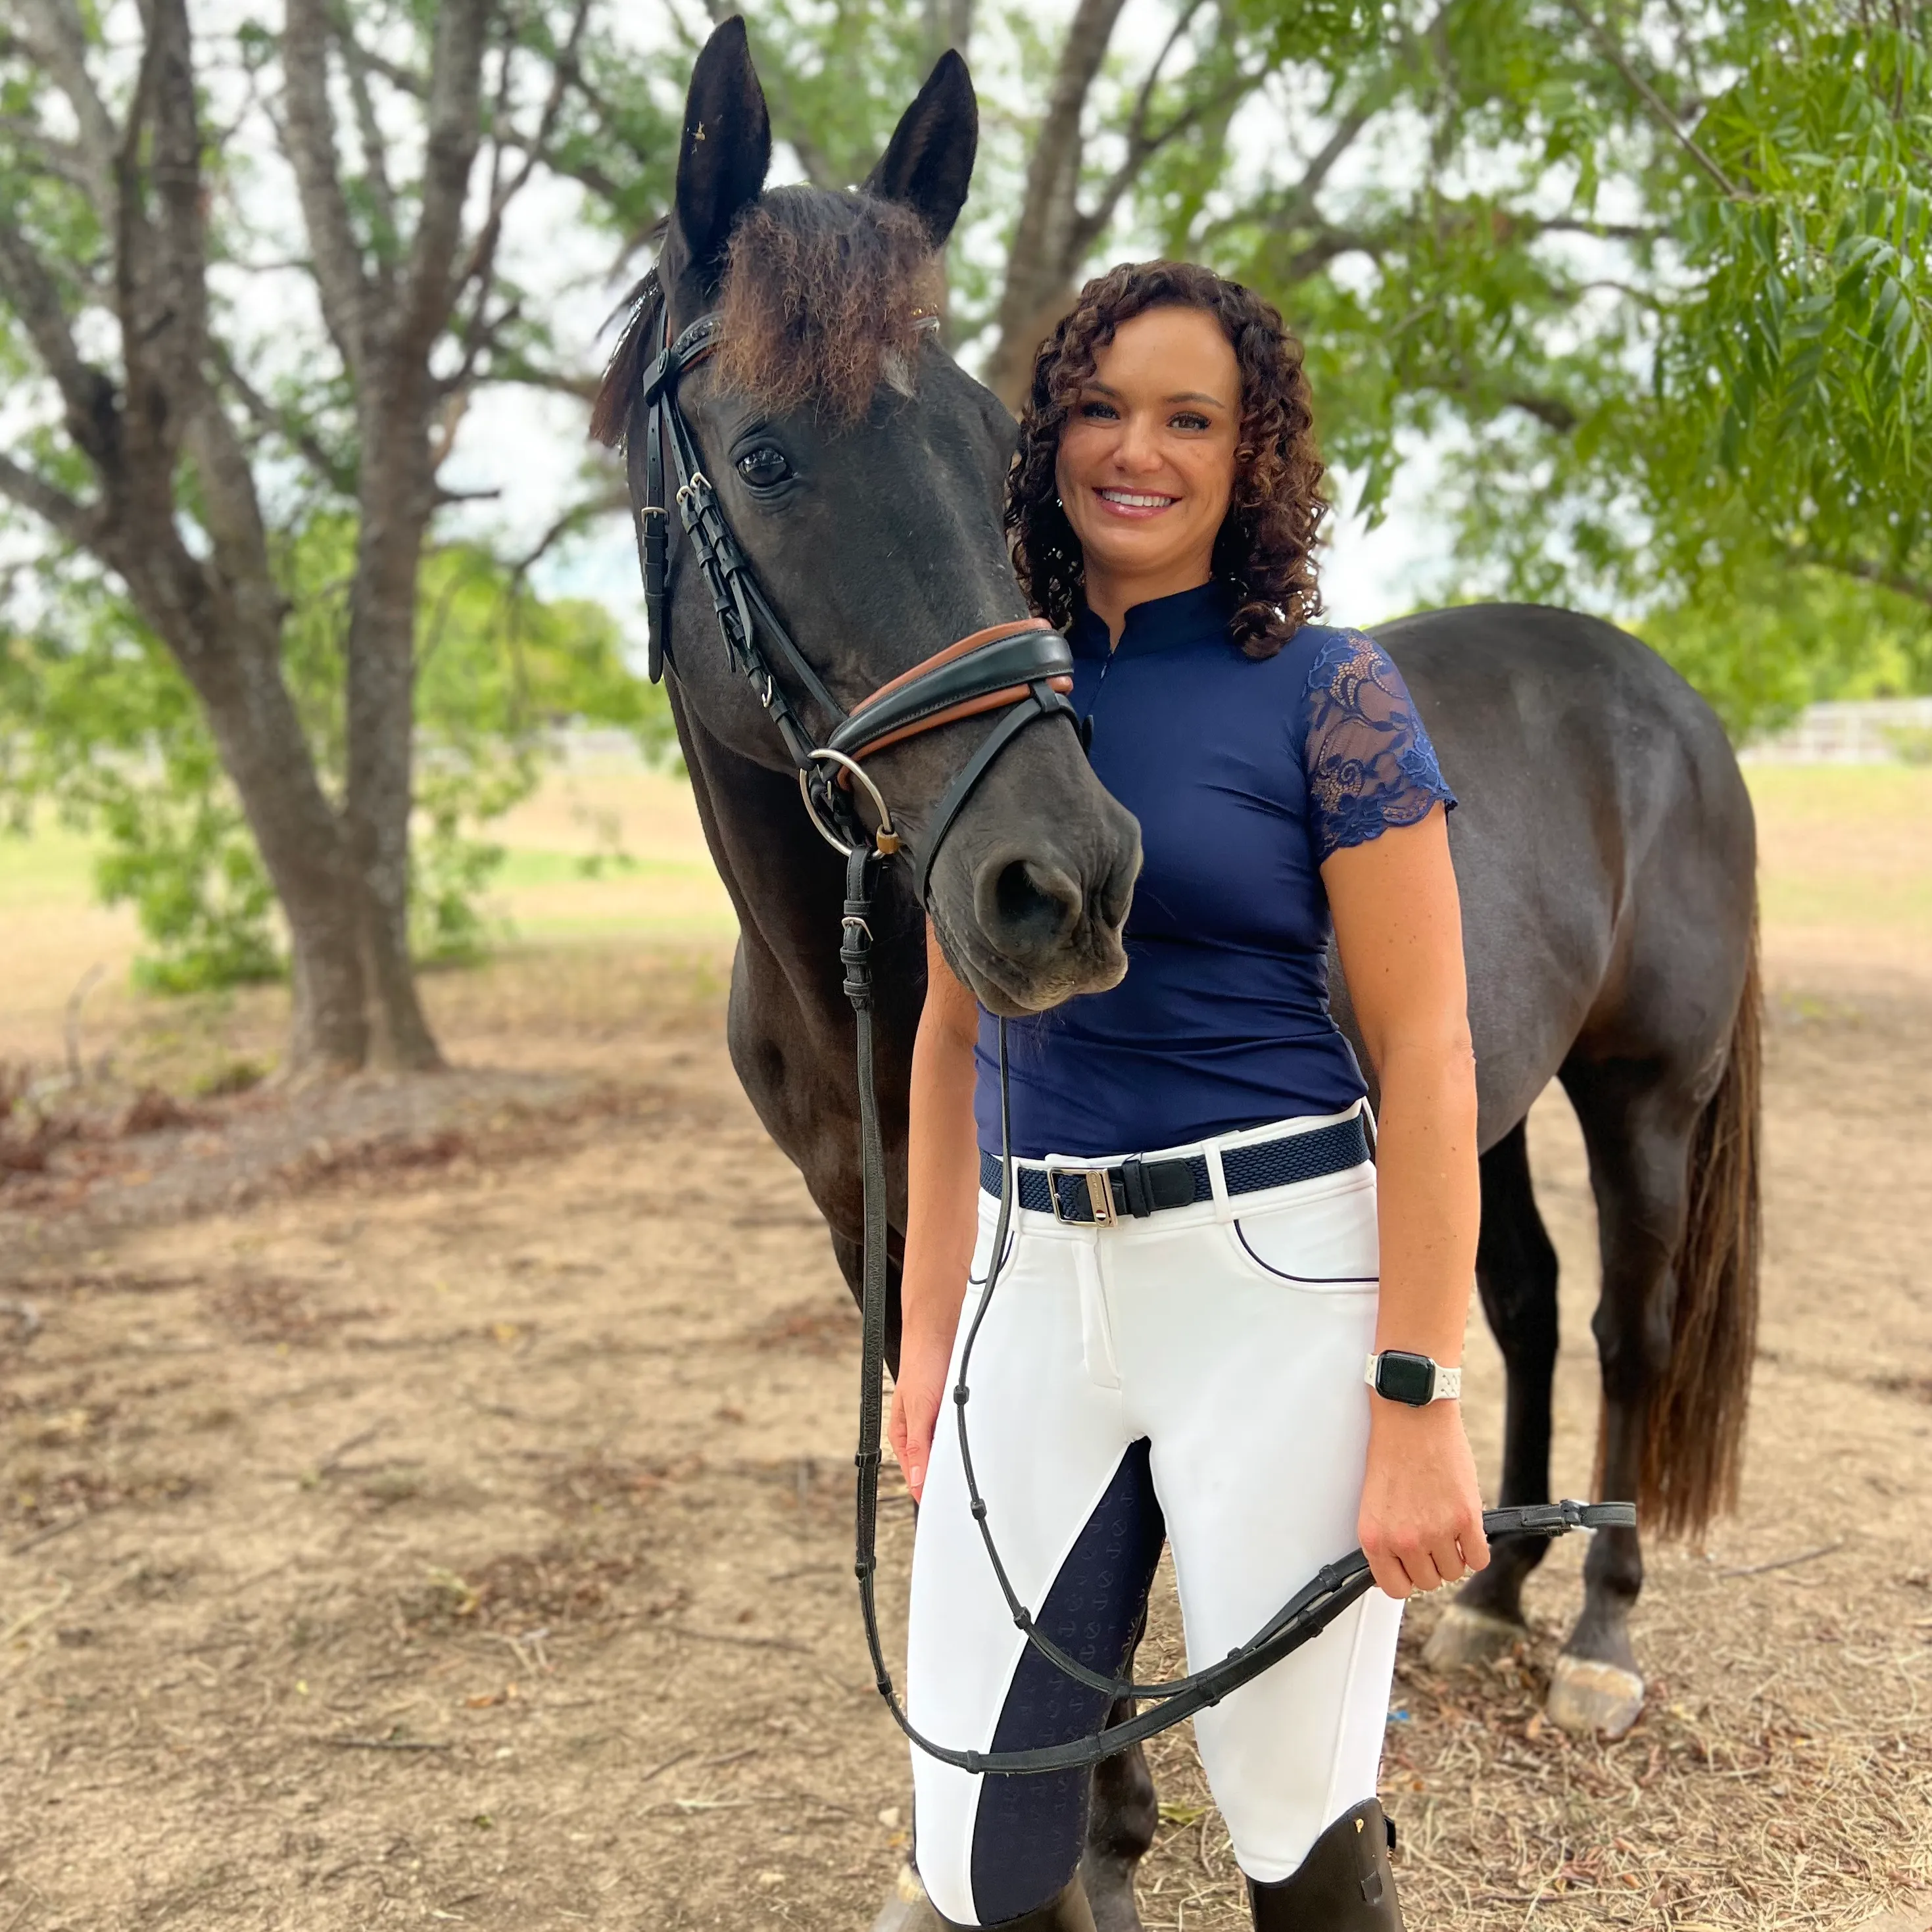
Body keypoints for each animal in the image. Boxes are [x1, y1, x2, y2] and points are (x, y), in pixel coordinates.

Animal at [602, 18, 1770, 1932]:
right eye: (764, 458)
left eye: (994, 440)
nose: (1062, 883)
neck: (840, 965)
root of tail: (1659, 693)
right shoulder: (879, 1226)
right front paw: (1037, 1828)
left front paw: (1102, 1836)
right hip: (1482, 1098)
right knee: (1515, 1304)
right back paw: (1486, 1603)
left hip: (1644, 1090)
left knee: (1626, 1322)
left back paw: (1596, 1634)